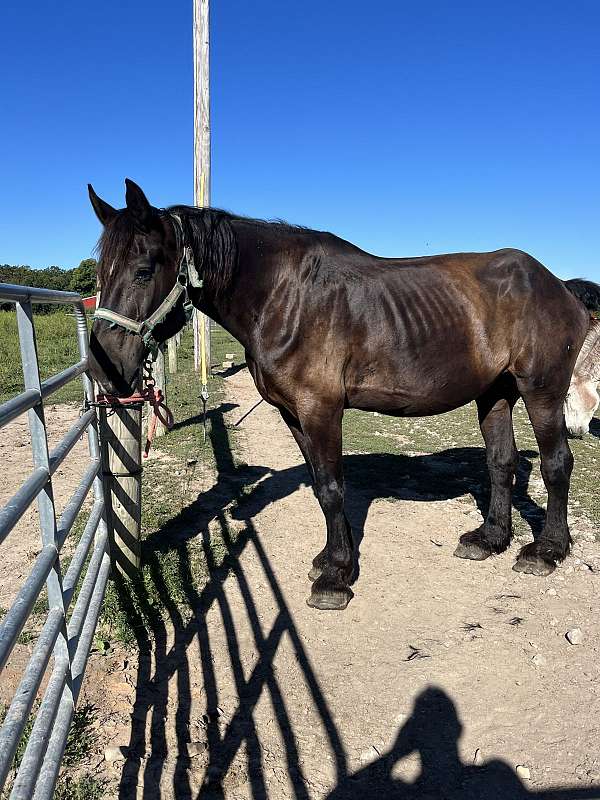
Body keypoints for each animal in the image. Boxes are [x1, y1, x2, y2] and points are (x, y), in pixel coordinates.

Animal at [88, 178, 592, 608]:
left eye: (143, 270)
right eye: (101, 274)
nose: (102, 367)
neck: (281, 296)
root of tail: (560, 286)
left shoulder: (321, 410)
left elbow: (332, 488)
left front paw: (335, 579)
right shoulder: (293, 414)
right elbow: (319, 485)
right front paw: (332, 560)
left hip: (542, 393)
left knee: (556, 464)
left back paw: (546, 551)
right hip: (495, 394)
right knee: (501, 463)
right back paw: (489, 540)